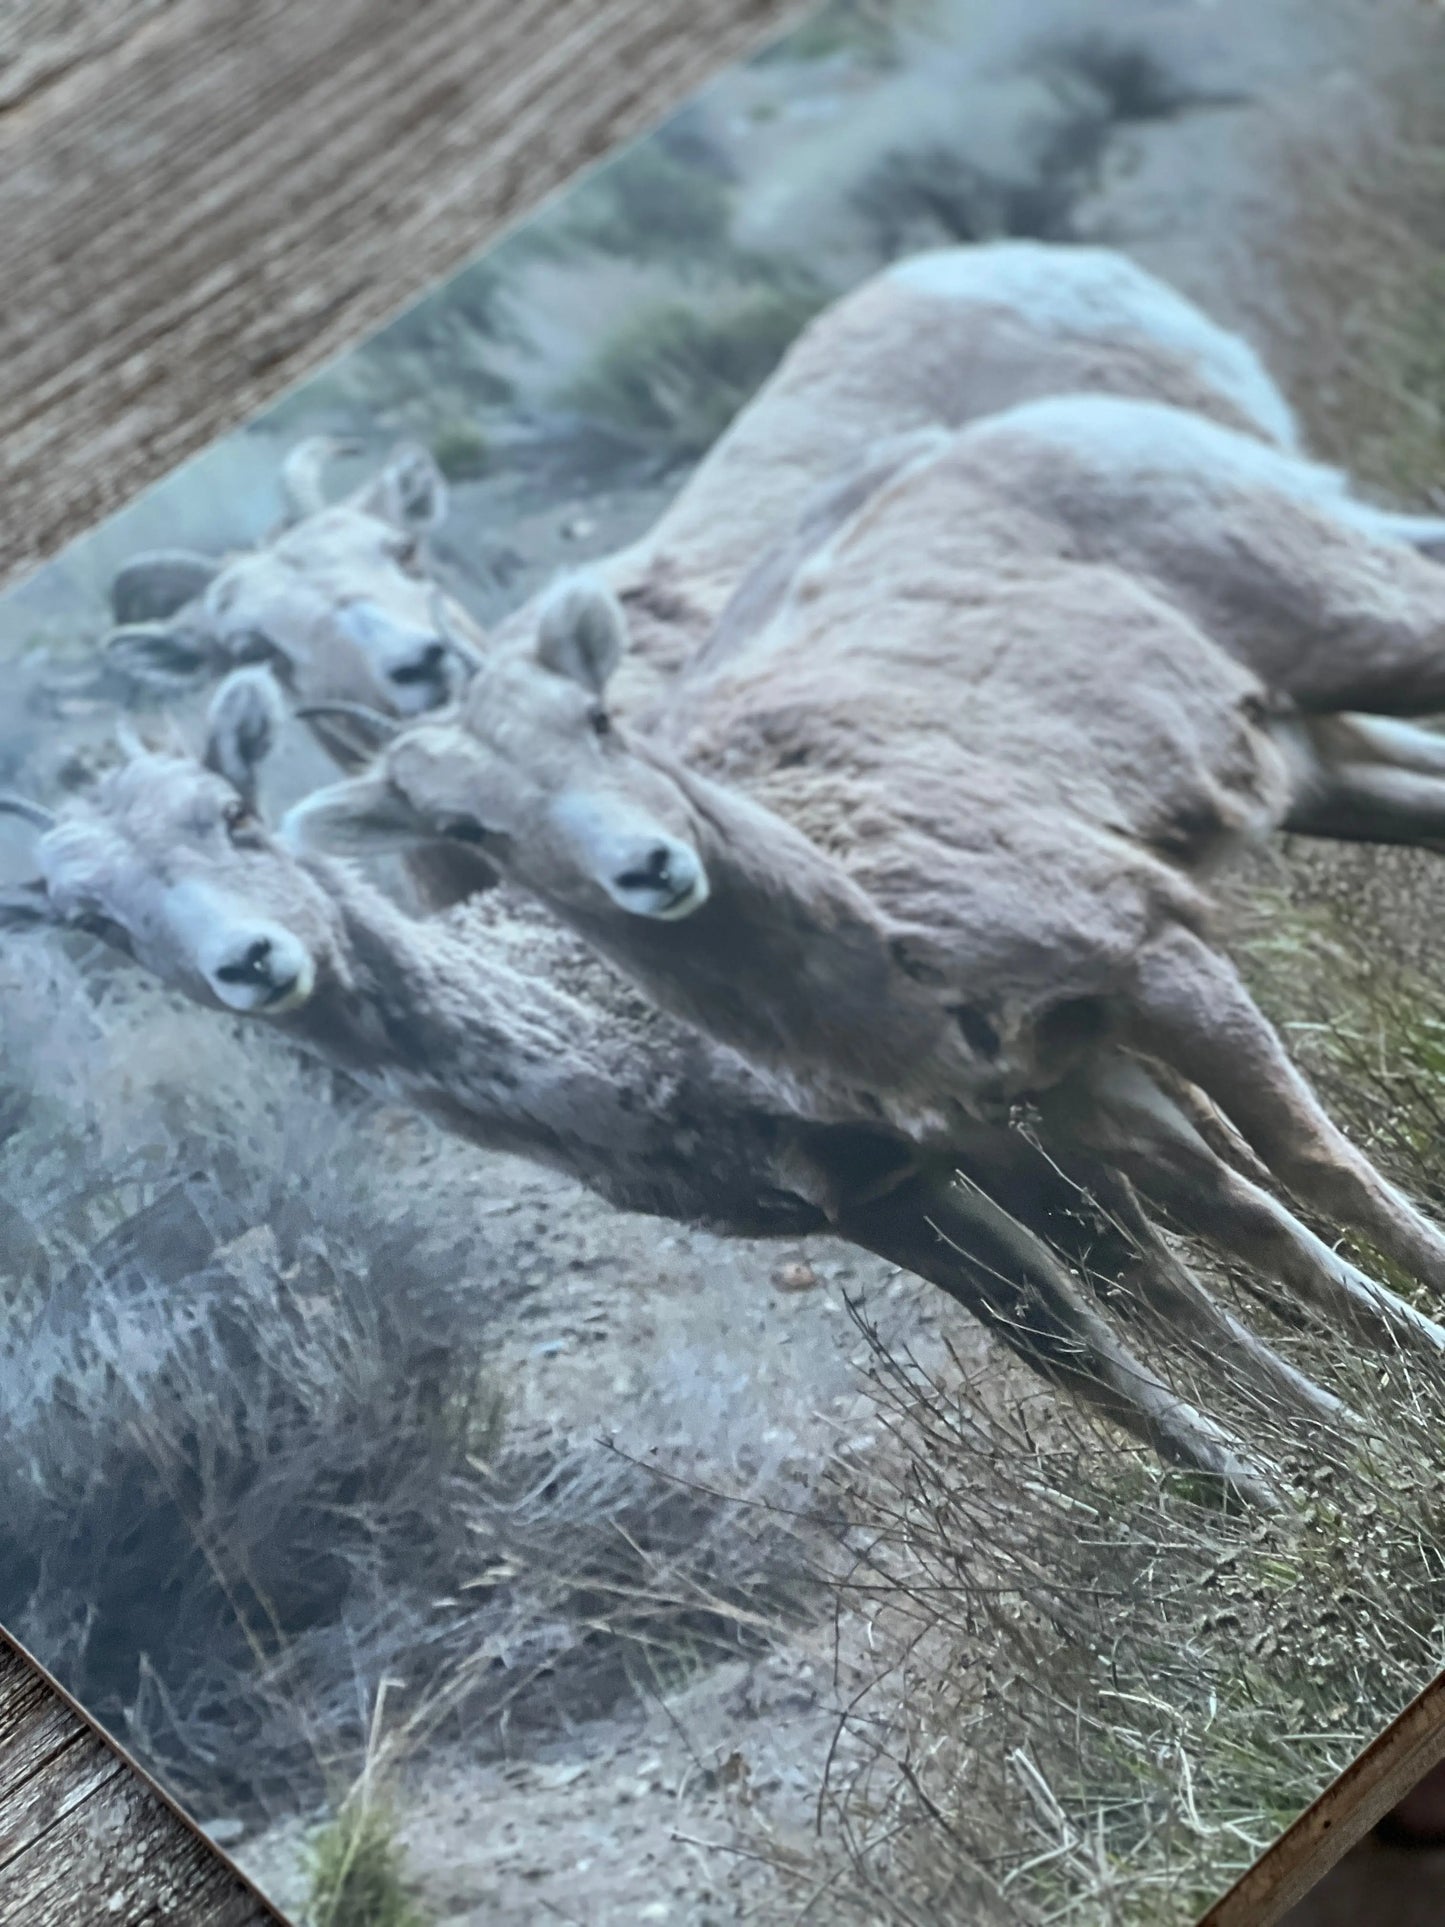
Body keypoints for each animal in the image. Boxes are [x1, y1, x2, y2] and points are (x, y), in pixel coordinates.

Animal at [0, 669, 1312, 1507]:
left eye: (233, 813)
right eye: (89, 918)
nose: (255, 962)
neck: (613, 1061)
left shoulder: (947, 1141)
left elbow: (1122, 1291)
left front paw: (1297, 1466)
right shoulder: (863, 1196)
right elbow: (1071, 1340)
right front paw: (1259, 1482)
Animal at [282, 418, 1445, 1367]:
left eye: (597, 720)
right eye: (464, 827)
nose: (652, 868)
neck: (870, 960)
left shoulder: (1151, 960)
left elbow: (1313, 1169)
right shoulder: (1058, 1092)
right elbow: (1239, 1227)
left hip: (1376, 636)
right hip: (1320, 758)